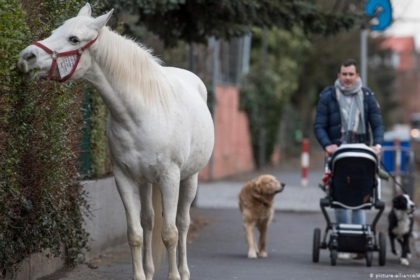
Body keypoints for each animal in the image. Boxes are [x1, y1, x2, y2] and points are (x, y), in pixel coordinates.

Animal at [16, 3, 213, 280]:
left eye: (74, 39)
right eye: (55, 30)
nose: (27, 57)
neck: (141, 113)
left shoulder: (170, 177)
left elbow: (170, 233)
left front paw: (174, 276)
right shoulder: (124, 177)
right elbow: (135, 233)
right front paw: (140, 275)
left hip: (189, 178)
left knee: (182, 223)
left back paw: (183, 272)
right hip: (145, 181)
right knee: (149, 220)